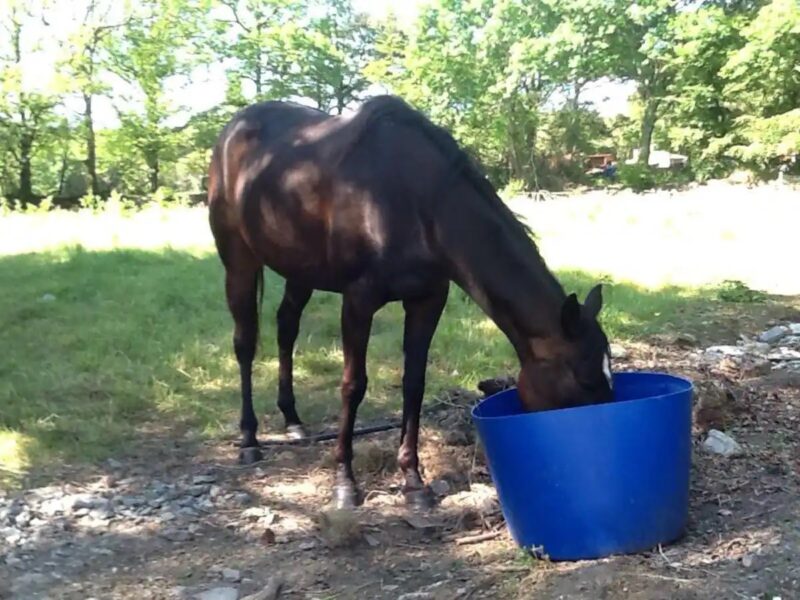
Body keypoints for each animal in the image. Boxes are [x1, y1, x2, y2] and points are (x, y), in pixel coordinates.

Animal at [206, 96, 612, 508]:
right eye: (583, 379)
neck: (416, 202)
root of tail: (233, 129)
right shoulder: (358, 301)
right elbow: (353, 385)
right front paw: (344, 484)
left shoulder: (427, 300)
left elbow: (414, 382)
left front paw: (413, 481)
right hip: (238, 259)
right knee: (245, 342)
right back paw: (249, 440)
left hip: (300, 270)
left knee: (286, 326)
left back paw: (292, 421)